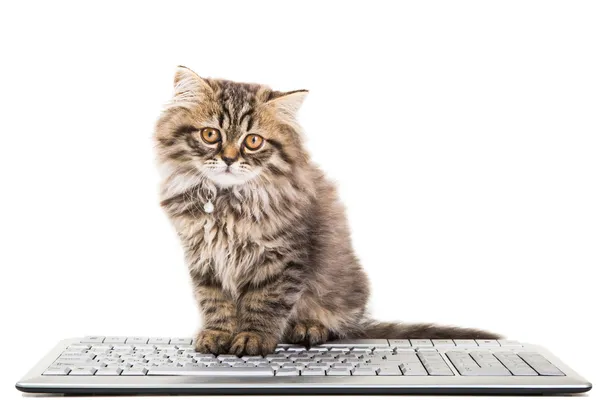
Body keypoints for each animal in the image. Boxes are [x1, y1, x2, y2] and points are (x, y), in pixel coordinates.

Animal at [156, 66, 502, 356]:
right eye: (210, 134)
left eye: (253, 141)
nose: (228, 159)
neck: (227, 201)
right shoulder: (203, 256)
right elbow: (214, 301)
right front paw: (217, 334)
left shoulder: (282, 257)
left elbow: (264, 302)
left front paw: (253, 337)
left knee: (336, 326)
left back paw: (309, 328)